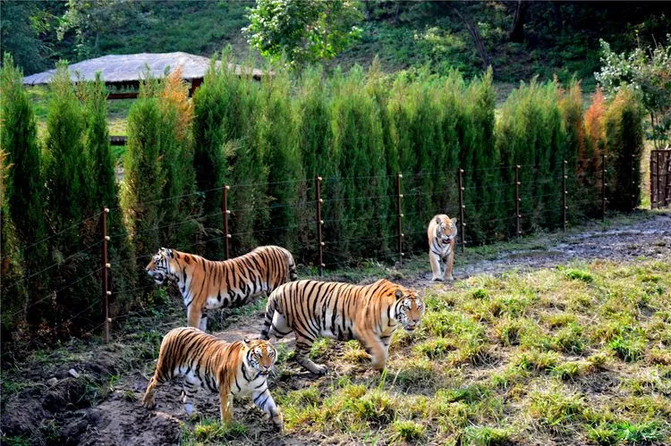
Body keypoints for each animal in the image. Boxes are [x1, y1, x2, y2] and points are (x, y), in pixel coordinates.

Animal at [143, 326, 282, 430]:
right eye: (258, 355)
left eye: (270, 354)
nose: (267, 366)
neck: (253, 374)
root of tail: (174, 329)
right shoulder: (226, 391)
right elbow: (226, 412)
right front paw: (229, 429)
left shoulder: (259, 391)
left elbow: (272, 407)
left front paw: (278, 423)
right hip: (166, 370)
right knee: (152, 381)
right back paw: (148, 403)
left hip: (192, 380)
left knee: (186, 397)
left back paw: (194, 415)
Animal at [147, 244, 296, 332]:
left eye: (156, 261)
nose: (146, 269)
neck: (178, 275)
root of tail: (281, 249)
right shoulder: (202, 309)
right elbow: (201, 330)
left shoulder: (194, 307)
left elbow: (191, 327)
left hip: (277, 287)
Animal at [260, 280, 422, 374]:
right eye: (407, 308)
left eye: (419, 307)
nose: (416, 320)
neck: (391, 320)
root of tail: (277, 290)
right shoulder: (364, 330)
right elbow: (380, 351)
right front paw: (377, 366)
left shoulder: (386, 335)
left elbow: (384, 350)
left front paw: (381, 368)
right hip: (306, 329)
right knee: (299, 354)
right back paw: (318, 369)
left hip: (281, 325)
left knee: (269, 340)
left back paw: (271, 368)